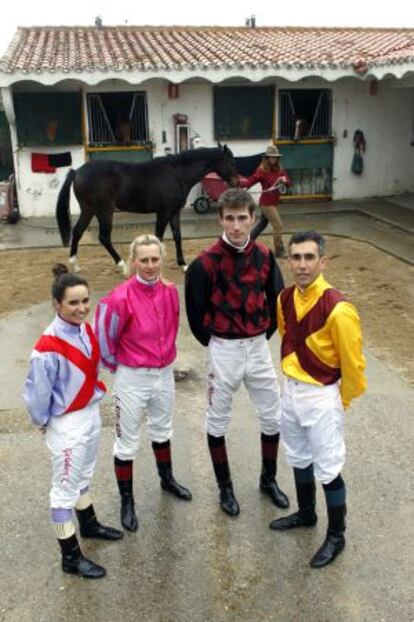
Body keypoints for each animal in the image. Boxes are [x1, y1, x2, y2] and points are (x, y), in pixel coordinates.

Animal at [55, 147, 239, 274]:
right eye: (230, 162)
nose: (237, 181)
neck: (176, 173)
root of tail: (77, 171)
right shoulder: (163, 212)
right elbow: (158, 237)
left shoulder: (174, 212)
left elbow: (177, 236)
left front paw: (183, 265)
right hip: (104, 210)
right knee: (104, 237)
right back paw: (122, 266)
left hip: (88, 210)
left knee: (77, 231)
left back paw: (75, 266)